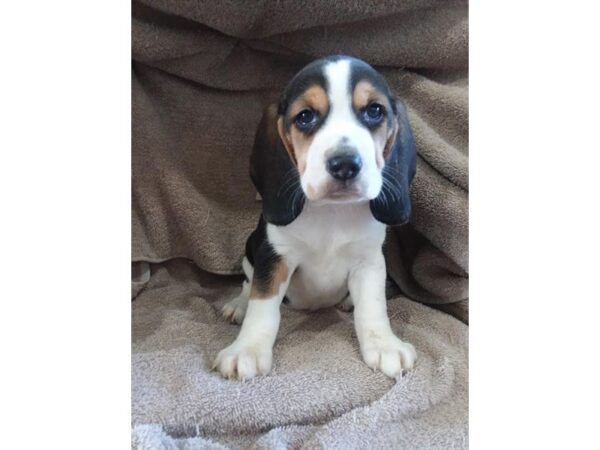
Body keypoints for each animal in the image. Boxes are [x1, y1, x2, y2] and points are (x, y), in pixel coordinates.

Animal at [214, 55, 418, 380]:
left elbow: (373, 307)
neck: (331, 211)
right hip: (250, 249)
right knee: (248, 283)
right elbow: (263, 304)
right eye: (305, 116)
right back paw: (238, 305)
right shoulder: (275, 256)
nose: (345, 164)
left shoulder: (369, 261)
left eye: (374, 111)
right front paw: (247, 349)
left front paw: (384, 344)